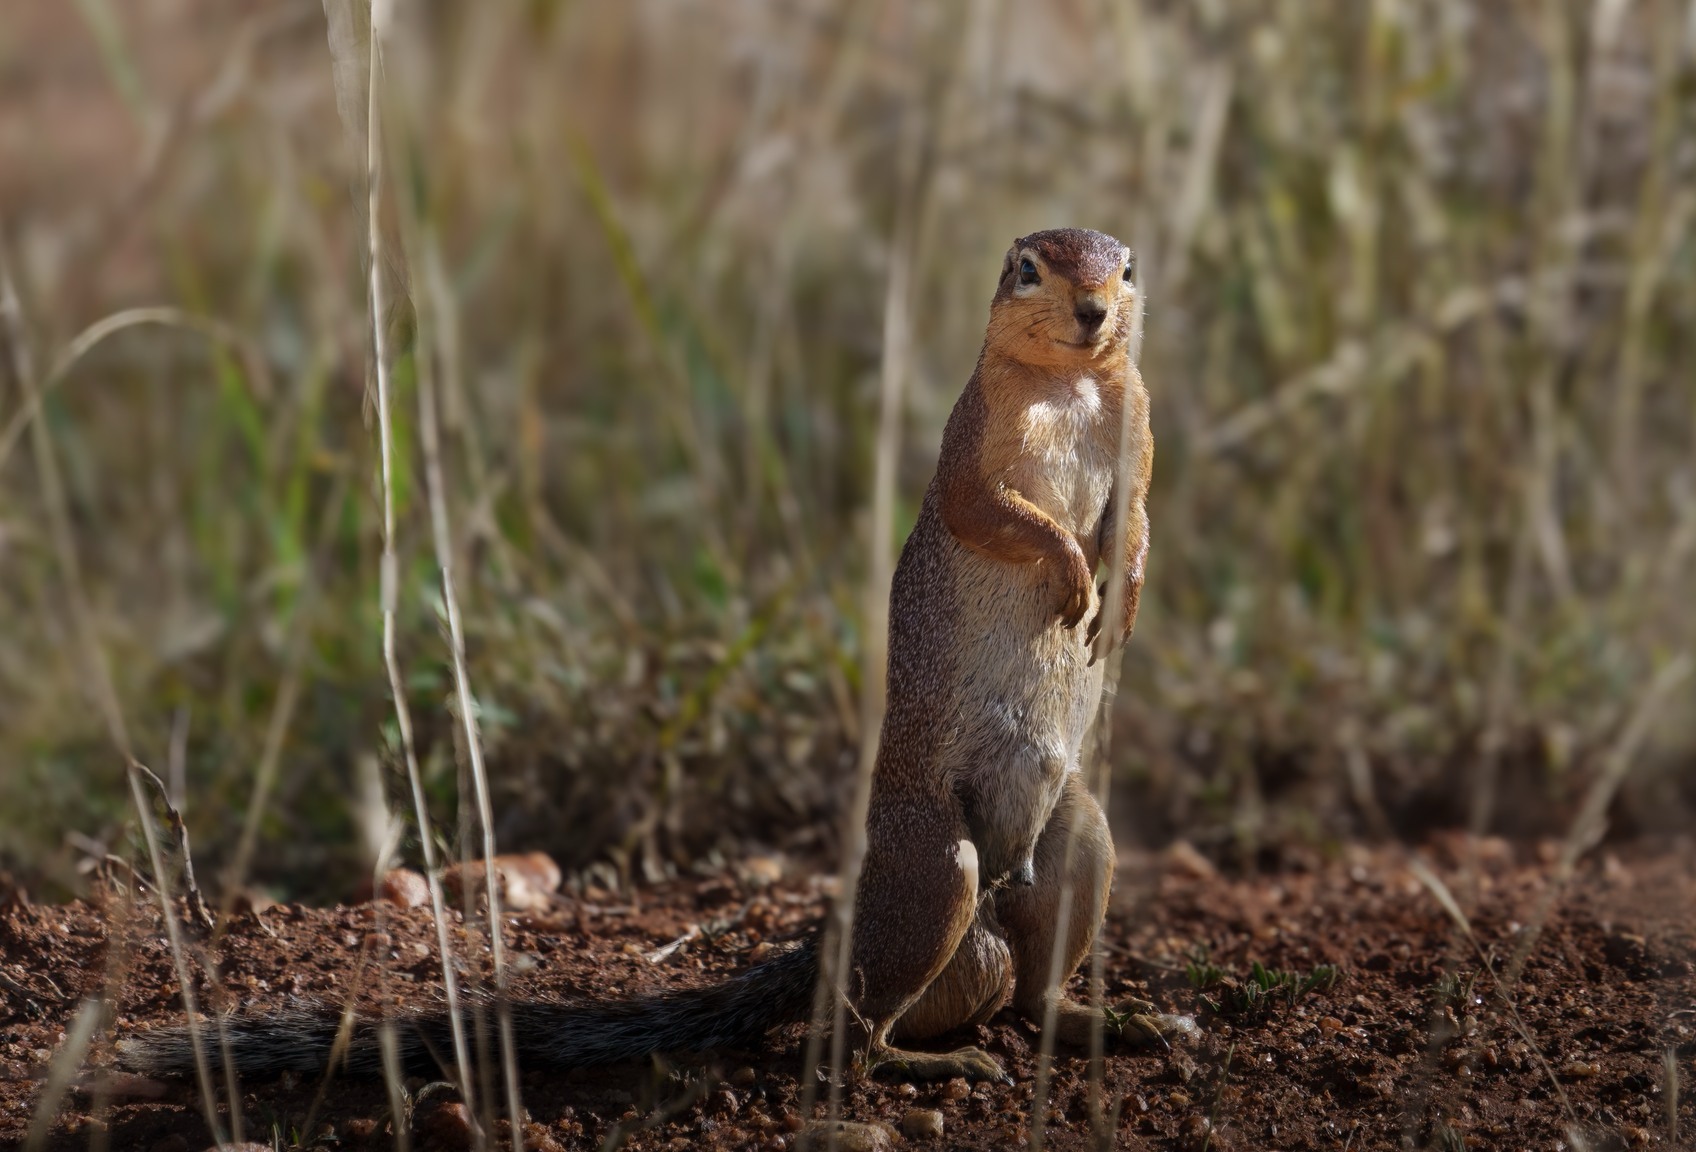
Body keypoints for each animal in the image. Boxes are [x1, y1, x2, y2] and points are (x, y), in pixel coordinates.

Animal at [119, 227, 1187, 1092]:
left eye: (1128, 266)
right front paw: (1073, 573)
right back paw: (928, 1064)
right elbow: (996, 510)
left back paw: (1109, 1019)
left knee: (1030, 988)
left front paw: (1122, 600)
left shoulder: (1139, 429)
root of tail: (832, 939)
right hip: (936, 869)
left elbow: (1135, 520)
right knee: (848, 1037)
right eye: (1028, 267)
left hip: (1080, 839)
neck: (1070, 384)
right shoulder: (972, 445)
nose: (1095, 310)